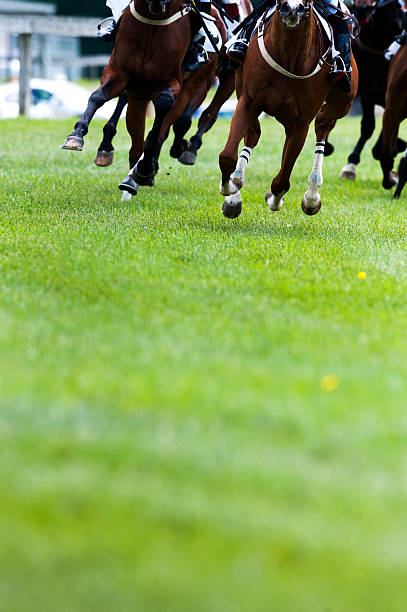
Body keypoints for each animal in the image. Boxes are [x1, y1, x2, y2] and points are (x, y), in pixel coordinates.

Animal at [220, 0, 356, 218]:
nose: (291, 9)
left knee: (322, 126)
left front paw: (274, 200)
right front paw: (231, 189)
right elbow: (227, 156)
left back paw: (312, 195)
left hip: (343, 102)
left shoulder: (301, 122)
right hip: (241, 87)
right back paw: (235, 193)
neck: (288, 53)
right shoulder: (248, 100)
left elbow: (282, 180)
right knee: (253, 134)